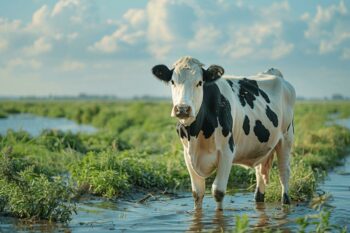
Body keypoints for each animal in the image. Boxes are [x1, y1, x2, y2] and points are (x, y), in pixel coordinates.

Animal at [150, 57, 296, 211]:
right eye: (173, 81)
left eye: (200, 82)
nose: (182, 109)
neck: (196, 133)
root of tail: (274, 73)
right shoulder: (187, 154)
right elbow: (197, 192)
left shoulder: (227, 151)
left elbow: (218, 191)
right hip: (261, 147)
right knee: (260, 175)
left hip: (286, 138)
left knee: (284, 173)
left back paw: (285, 202)